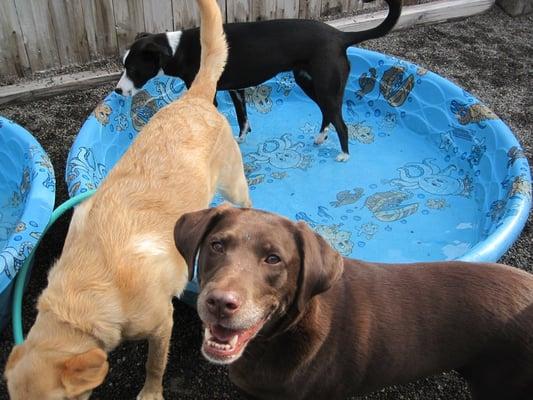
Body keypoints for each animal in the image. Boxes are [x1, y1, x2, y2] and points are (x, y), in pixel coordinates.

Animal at [115, 1, 400, 162]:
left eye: (133, 69)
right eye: (124, 65)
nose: (117, 90)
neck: (178, 49)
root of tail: (341, 36)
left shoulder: (210, 95)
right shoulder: (236, 89)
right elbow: (243, 118)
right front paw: (240, 139)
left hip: (327, 88)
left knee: (341, 122)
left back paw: (344, 154)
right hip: (309, 83)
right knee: (327, 115)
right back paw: (320, 139)